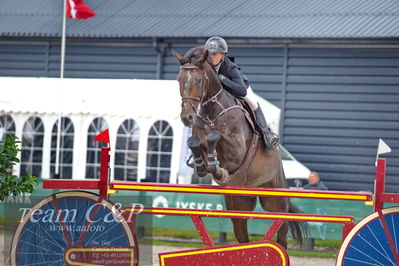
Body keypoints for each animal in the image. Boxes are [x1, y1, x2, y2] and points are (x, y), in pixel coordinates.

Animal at [173, 46, 308, 248]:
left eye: (199, 79)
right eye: (179, 79)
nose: (187, 117)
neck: (212, 112)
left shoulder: (237, 151)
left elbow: (215, 136)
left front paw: (217, 169)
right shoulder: (199, 139)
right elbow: (194, 142)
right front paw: (203, 166)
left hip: (276, 202)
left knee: (281, 235)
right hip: (239, 204)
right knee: (242, 236)